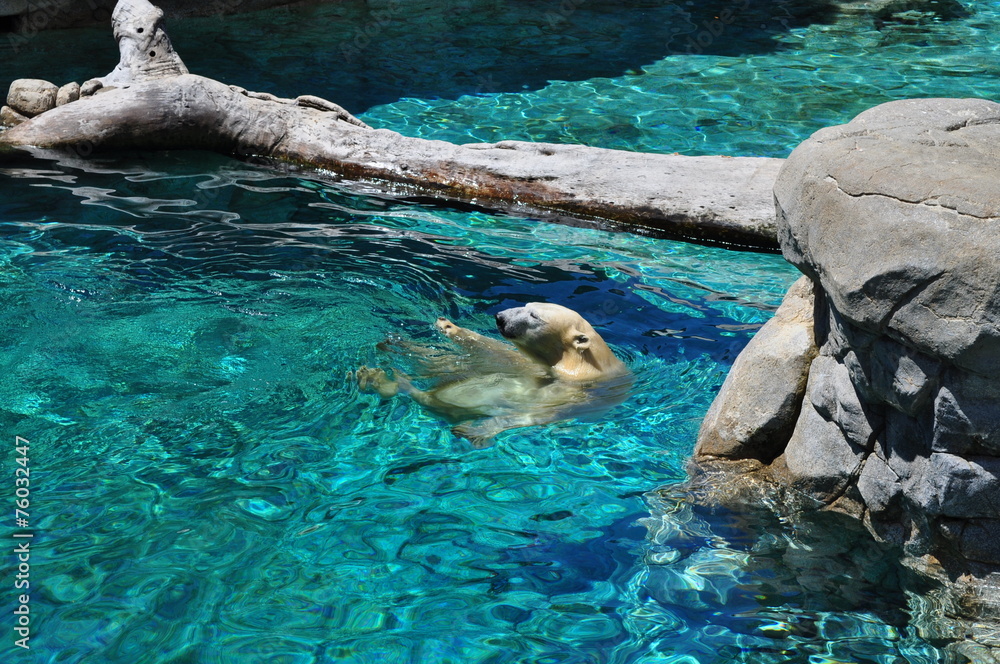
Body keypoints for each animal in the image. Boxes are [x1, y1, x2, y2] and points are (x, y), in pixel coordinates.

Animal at [353, 302, 633, 445]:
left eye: (533, 315)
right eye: (527, 304)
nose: (500, 317)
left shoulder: (576, 392)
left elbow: (534, 411)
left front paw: (476, 431)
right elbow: (500, 355)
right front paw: (448, 327)